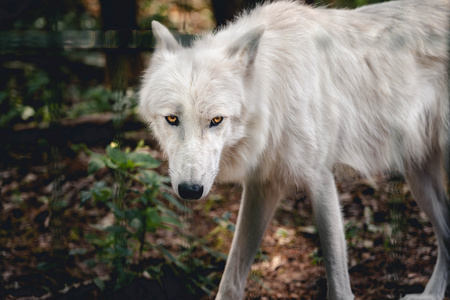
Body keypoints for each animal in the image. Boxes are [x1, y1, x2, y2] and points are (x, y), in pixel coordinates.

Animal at [139, 0, 448, 298]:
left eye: (216, 120)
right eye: (172, 119)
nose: (190, 191)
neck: (275, 95)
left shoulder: (320, 180)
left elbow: (338, 286)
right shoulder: (262, 186)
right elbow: (231, 282)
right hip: (417, 176)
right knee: (445, 233)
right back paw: (430, 295)